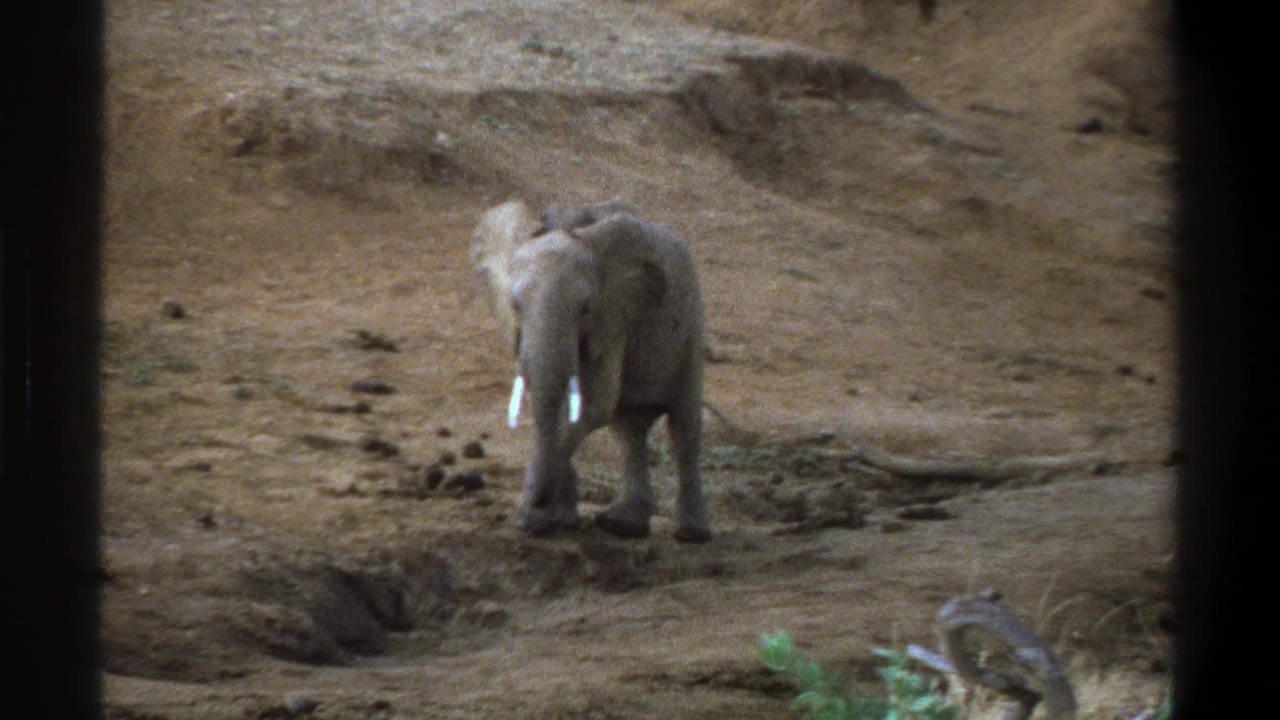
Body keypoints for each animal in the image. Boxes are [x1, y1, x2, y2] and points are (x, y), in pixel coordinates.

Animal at [471, 199, 711, 543]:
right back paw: (624, 526)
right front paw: (555, 519)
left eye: (585, 309)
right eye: (515, 305)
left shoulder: (615, 318)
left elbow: (595, 404)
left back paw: (692, 534)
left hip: (692, 325)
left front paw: (533, 517)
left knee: (684, 426)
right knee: (629, 428)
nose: (538, 503)